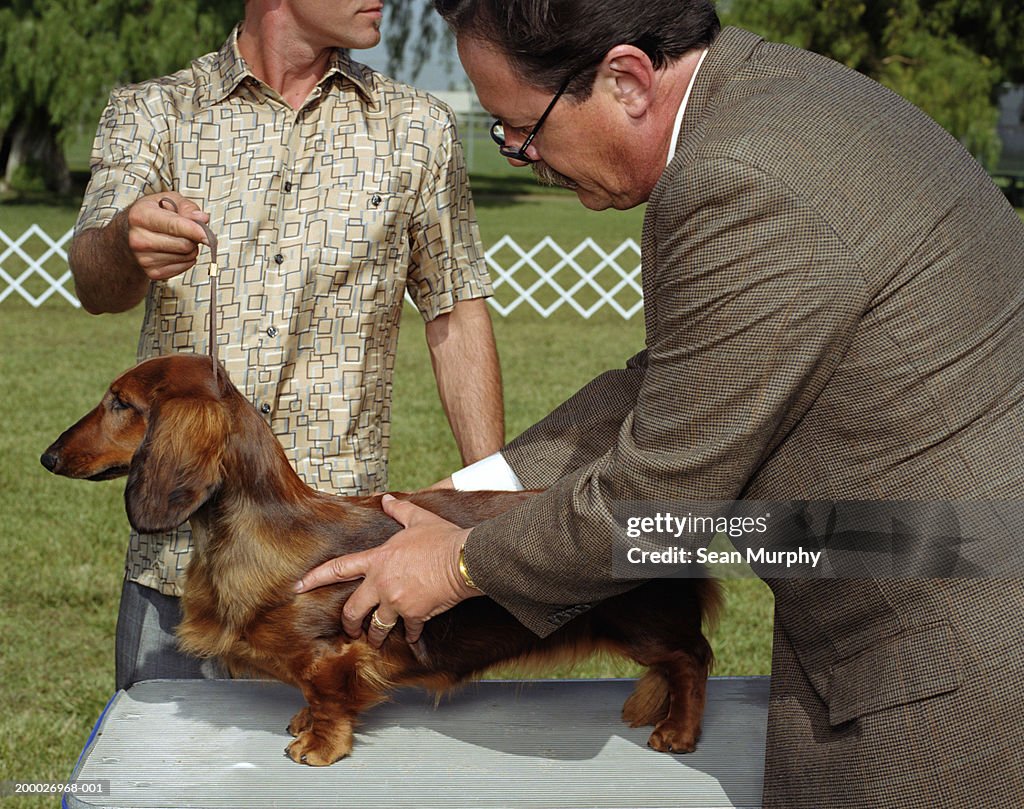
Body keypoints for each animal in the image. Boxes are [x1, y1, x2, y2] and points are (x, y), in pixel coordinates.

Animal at [41, 354, 720, 765]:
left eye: (120, 403)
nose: (47, 457)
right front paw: (300, 723)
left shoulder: (333, 654)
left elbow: (329, 699)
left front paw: (318, 746)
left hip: (646, 623)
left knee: (692, 660)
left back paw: (677, 731)